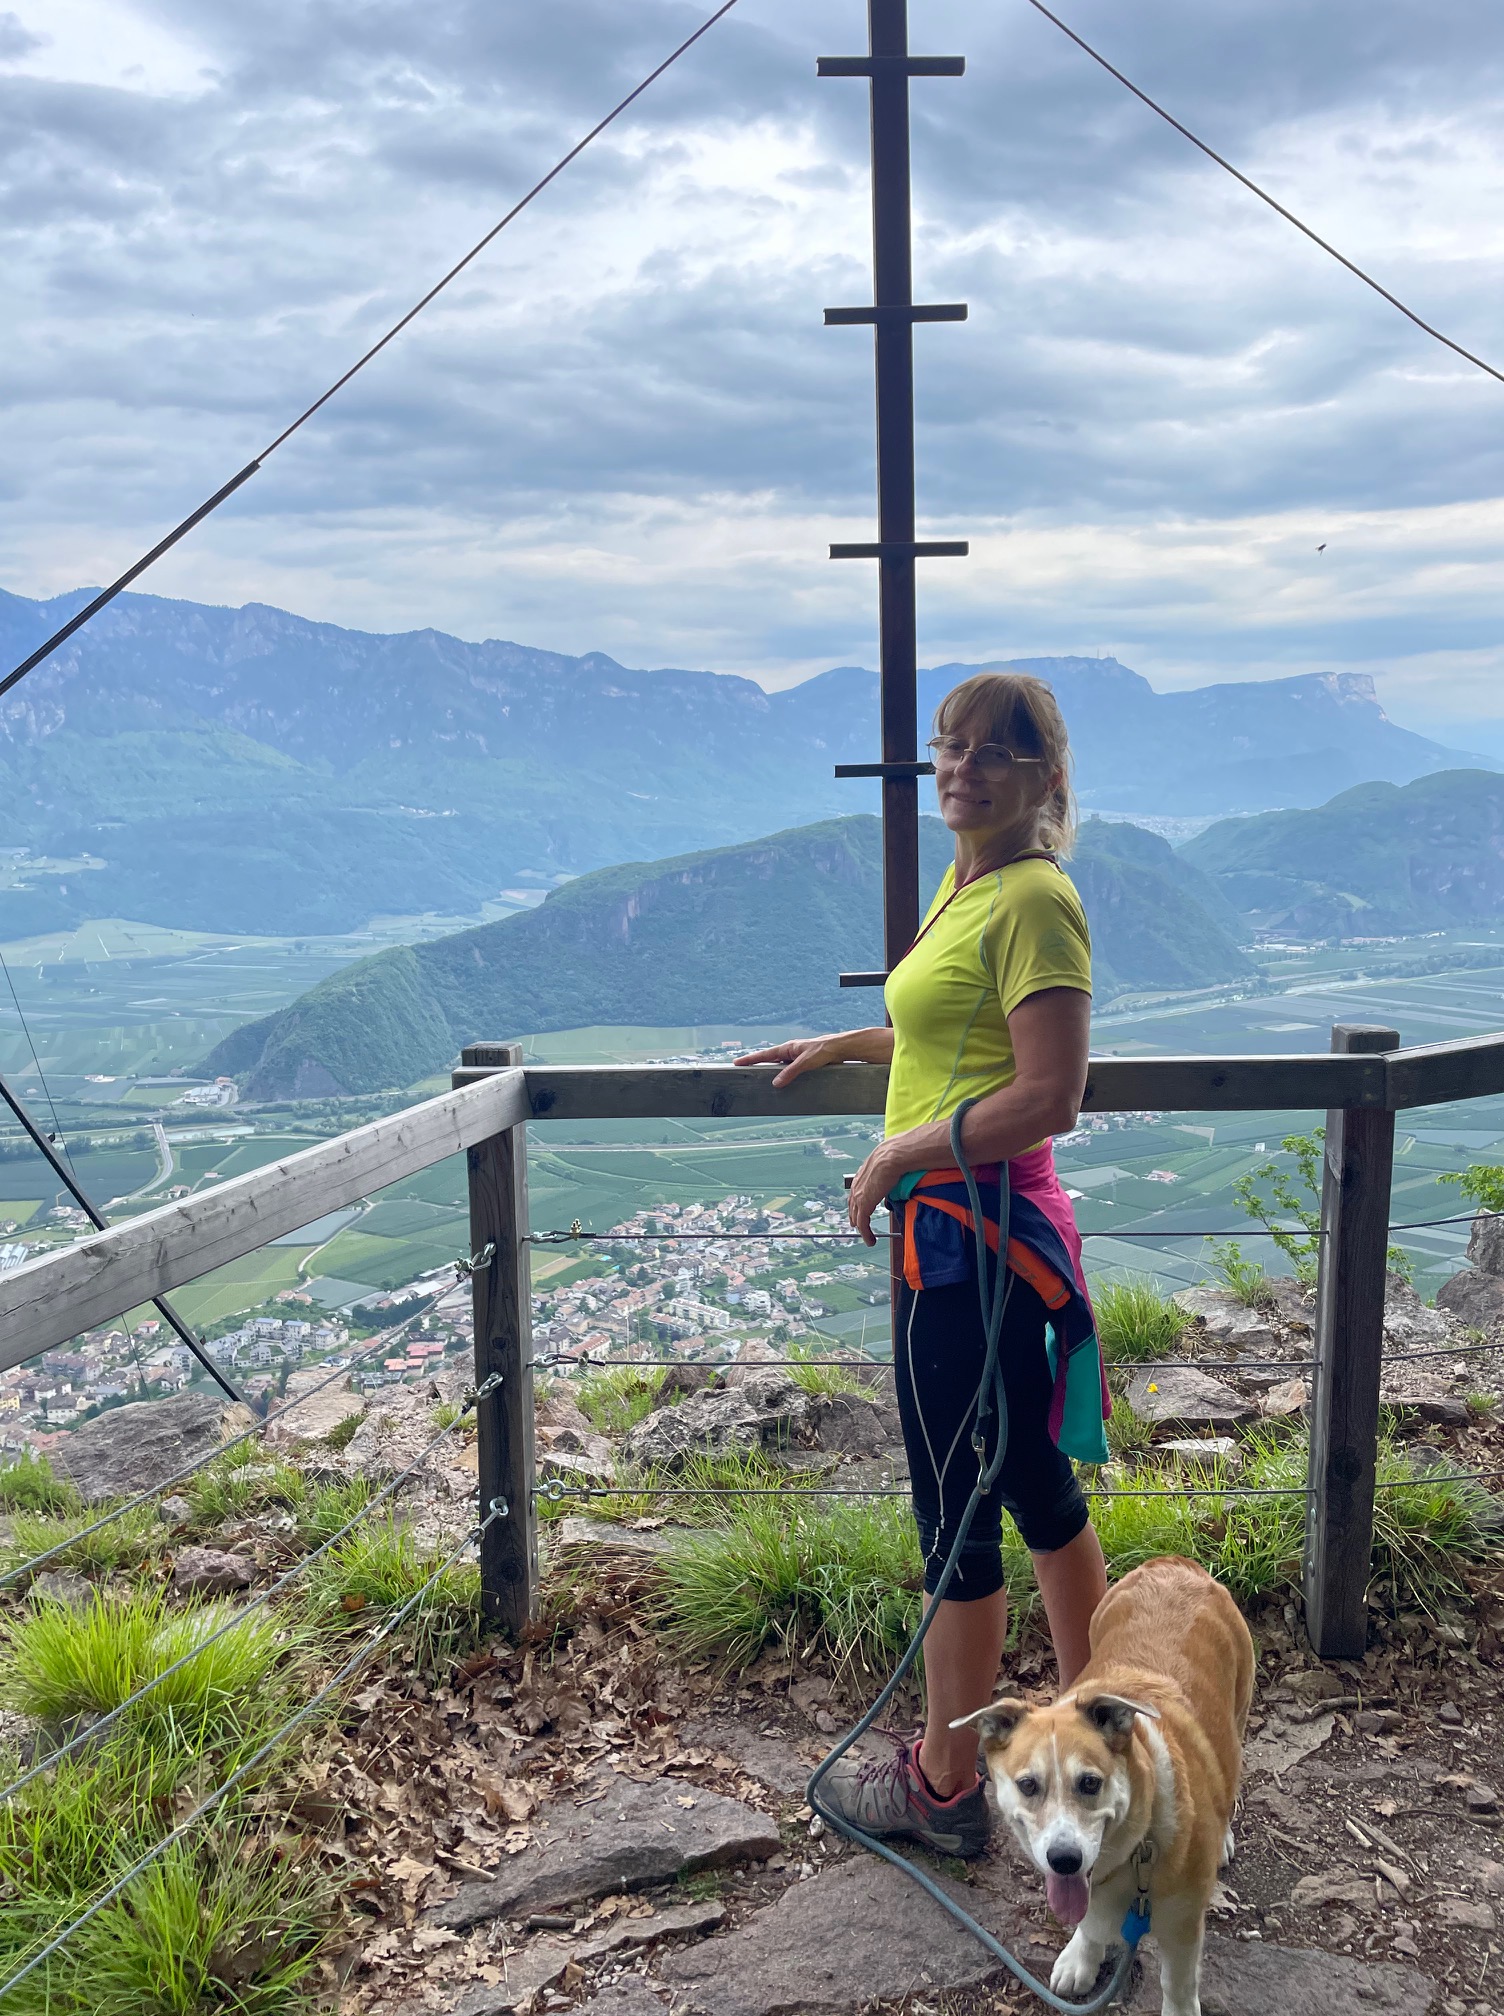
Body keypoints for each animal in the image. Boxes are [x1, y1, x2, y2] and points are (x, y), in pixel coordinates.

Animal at [947, 1556, 1249, 2016]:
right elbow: (1089, 1928)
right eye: (1028, 1785)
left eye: (1090, 1783)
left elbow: (1176, 1983)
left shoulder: (1182, 1925)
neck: (1135, 1851)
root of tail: (1171, 1562)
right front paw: (1081, 1959)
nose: (1064, 1859)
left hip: (1240, 1707)